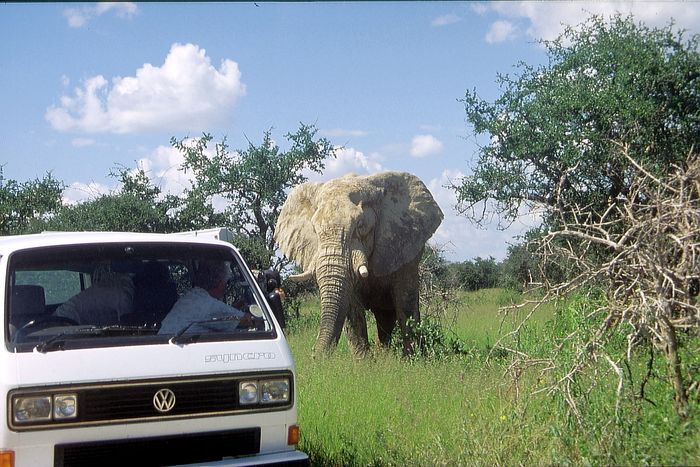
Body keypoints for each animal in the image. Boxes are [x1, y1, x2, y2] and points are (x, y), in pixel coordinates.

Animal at [274, 172, 442, 358]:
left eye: (361, 226)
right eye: (315, 230)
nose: (314, 357)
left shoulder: (404, 246)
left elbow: (405, 303)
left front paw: (412, 358)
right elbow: (352, 308)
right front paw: (364, 361)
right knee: (384, 318)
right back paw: (383, 354)